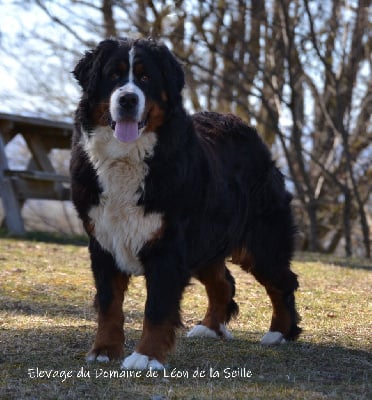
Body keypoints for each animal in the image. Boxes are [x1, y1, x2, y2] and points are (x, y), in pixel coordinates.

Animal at [71, 38, 300, 372]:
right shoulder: (103, 240)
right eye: (113, 76)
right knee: (223, 283)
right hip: (206, 245)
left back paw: (279, 333)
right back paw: (210, 327)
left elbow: (157, 309)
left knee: (282, 282)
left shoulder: (167, 246)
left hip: (261, 243)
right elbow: (109, 304)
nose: (127, 99)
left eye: (146, 78)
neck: (128, 158)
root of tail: (242, 125)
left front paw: (146, 356)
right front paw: (104, 350)